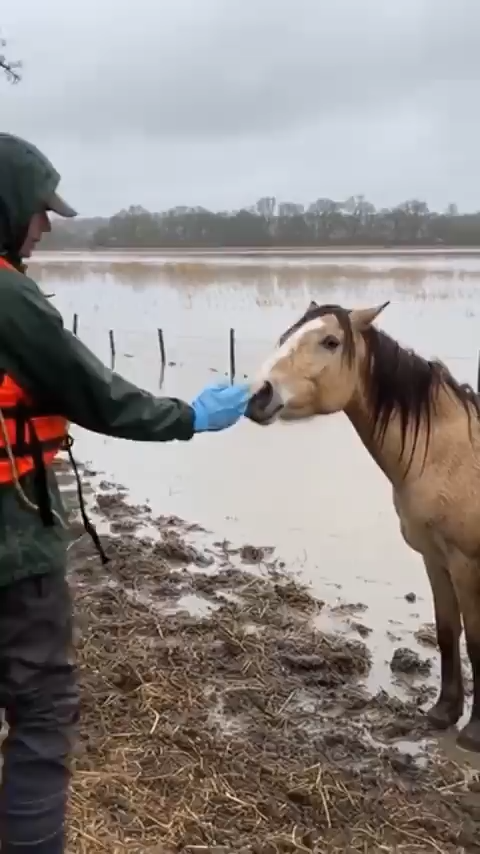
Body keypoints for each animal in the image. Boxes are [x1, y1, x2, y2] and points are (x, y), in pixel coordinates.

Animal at [245, 299, 480, 752]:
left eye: (330, 341)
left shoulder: (466, 564)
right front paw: (444, 712)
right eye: (287, 336)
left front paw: (475, 732)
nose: (258, 395)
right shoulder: (435, 558)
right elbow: (447, 631)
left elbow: (477, 641)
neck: (452, 453)